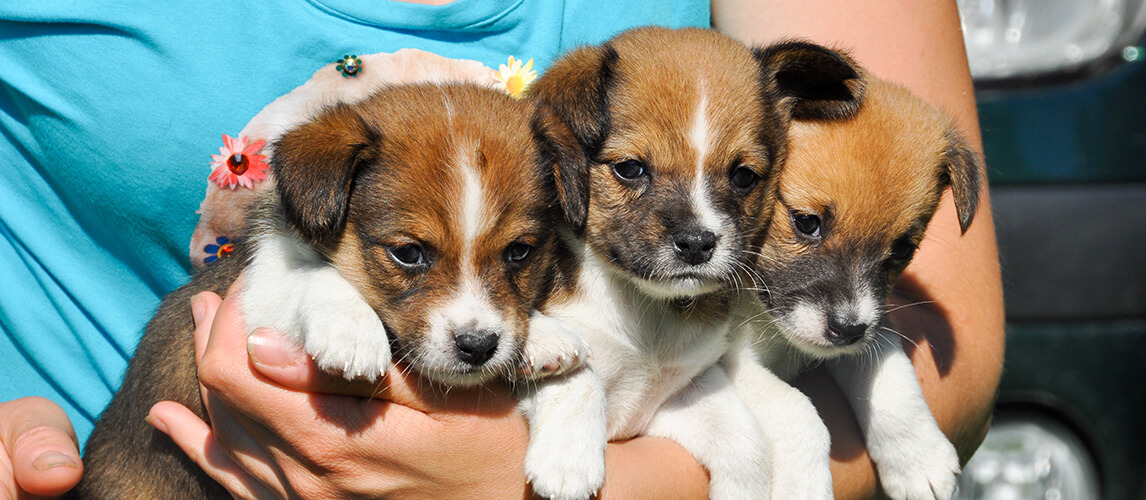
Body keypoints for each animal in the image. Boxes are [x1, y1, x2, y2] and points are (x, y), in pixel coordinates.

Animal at [742, 75, 985, 499]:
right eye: (806, 222)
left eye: (902, 248)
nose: (847, 330)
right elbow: (796, 410)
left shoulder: (875, 321)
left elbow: (890, 374)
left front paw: (918, 459)